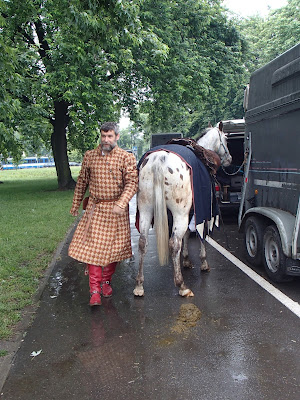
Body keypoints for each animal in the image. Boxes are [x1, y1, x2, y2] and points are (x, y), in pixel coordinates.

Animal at [134, 125, 232, 296]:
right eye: (225, 139)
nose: (230, 159)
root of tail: (159, 160)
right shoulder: (201, 211)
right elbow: (201, 235)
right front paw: (203, 262)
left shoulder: (190, 212)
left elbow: (187, 234)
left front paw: (186, 259)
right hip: (180, 214)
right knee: (174, 244)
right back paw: (182, 285)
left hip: (146, 211)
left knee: (142, 242)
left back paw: (139, 285)